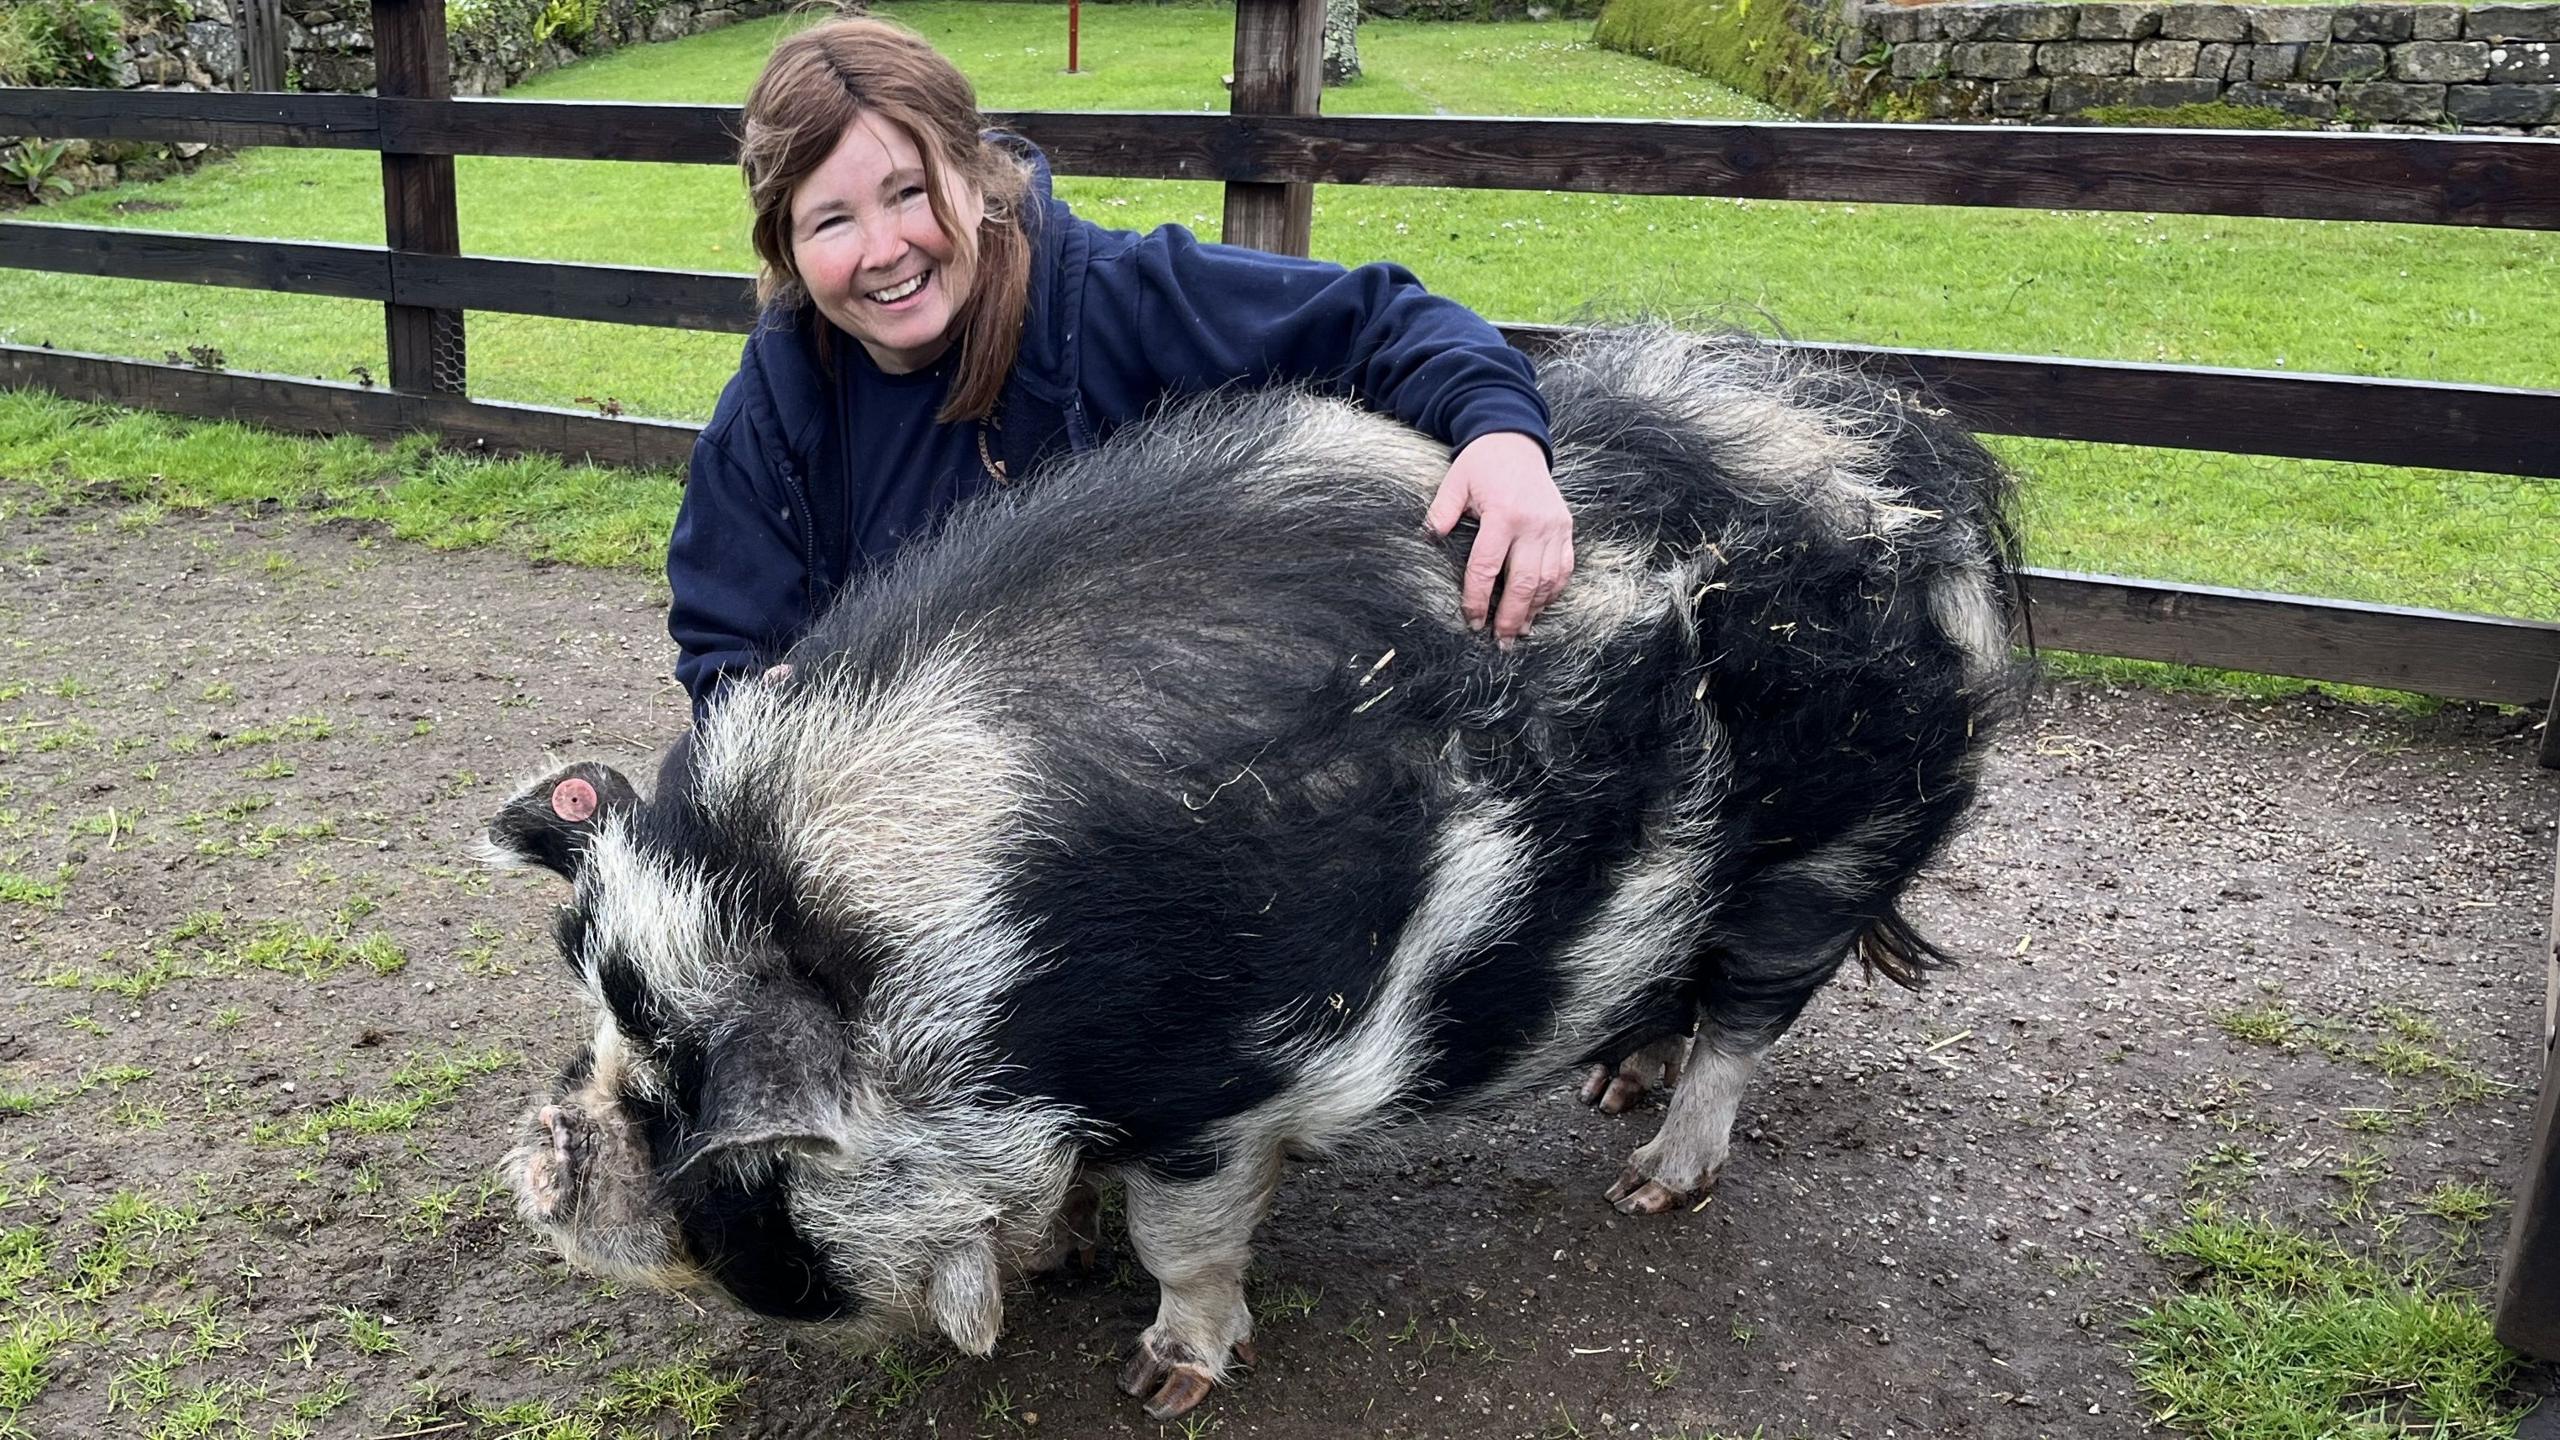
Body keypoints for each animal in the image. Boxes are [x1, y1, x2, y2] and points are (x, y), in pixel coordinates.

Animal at [488, 325, 2027, 1414]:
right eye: (605, 1024)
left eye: (684, 1107)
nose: (544, 1146)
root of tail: (1924, 460)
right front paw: (1064, 1256)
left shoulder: (1223, 1087)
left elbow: (1189, 1239)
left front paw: (1158, 1382)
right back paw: (1610, 1086)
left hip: (1833, 845)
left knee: (1746, 1024)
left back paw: (1650, 1183)